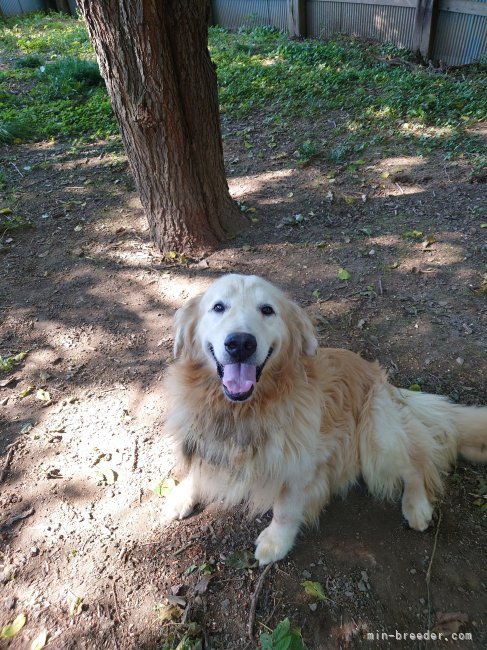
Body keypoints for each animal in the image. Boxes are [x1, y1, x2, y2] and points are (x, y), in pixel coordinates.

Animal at [164, 272, 487, 560]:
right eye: (218, 307)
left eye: (267, 310)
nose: (241, 343)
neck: (242, 409)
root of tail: (390, 386)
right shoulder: (204, 440)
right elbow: (197, 470)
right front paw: (182, 494)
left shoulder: (301, 463)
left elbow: (285, 509)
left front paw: (276, 542)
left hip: (377, 436)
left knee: (416, 463)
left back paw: (417, 506)